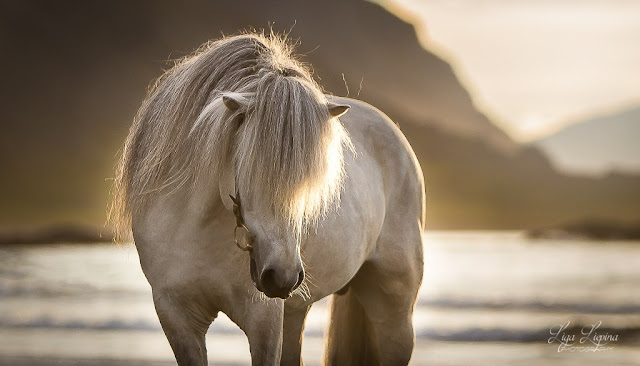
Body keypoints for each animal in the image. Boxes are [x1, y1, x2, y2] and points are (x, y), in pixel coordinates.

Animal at [111, 33, 424, 364]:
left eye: (312, 183)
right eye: (253, 169)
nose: (283, 276)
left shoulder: (264, 319)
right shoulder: (176, 315)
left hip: (393, 315)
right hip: (297, 311)